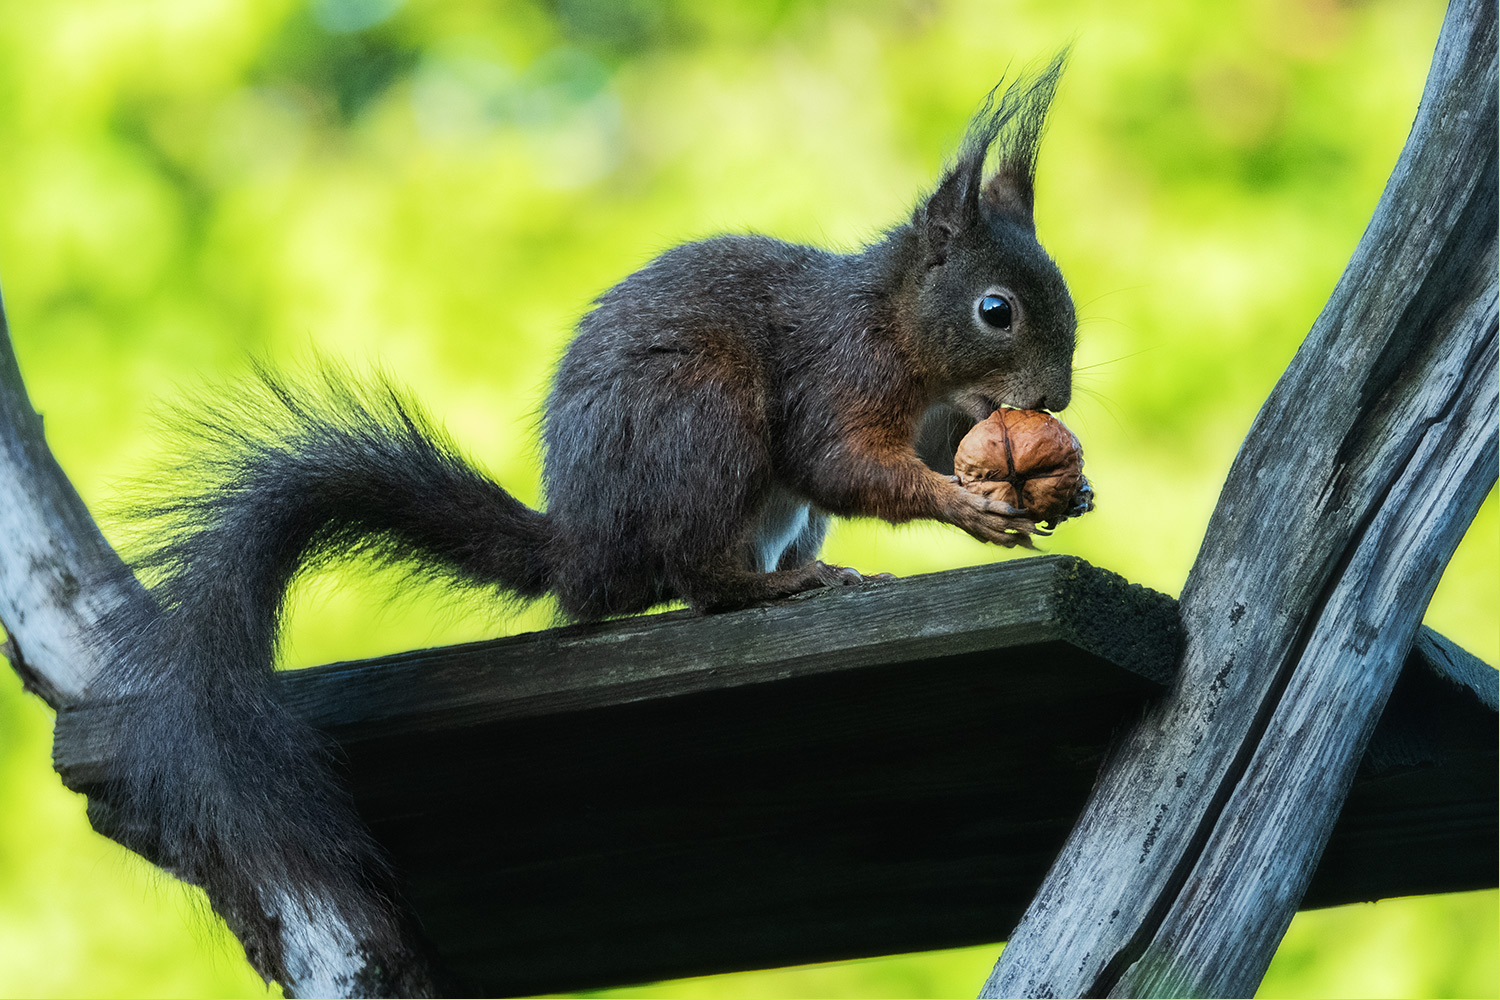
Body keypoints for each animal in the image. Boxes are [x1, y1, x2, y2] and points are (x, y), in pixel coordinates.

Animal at [93, 58, 1074, 989]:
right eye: (997, 311)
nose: (1057, 398)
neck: (900, 326)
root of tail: (583, 551)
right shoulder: (838, 374)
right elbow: (841, 463)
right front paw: (967, 504)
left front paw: (1056, 485)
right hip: (703, 423)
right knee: (699, 579)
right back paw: (779, 587)